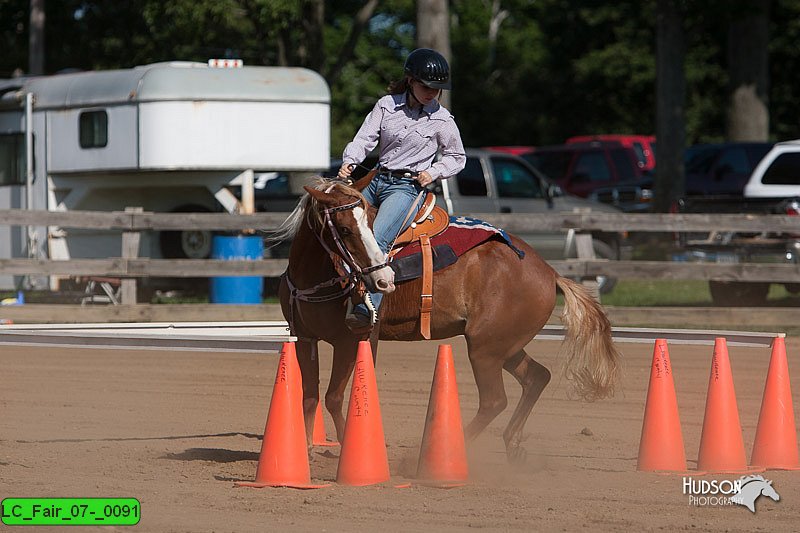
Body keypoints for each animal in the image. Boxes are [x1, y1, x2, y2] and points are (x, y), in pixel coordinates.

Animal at [276, 175, 620, 462]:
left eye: (371, 229)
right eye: (345, 229)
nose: (384, 281)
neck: (317, 274)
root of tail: (549, 272)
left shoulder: (354, 339)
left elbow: (334, 397)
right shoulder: (304, 337)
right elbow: (309, 396)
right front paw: (305, 449)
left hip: (484, 349)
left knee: (494, 400)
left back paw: (431, 454)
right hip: (505, 347)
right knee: (536, 377)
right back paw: (512, 444)